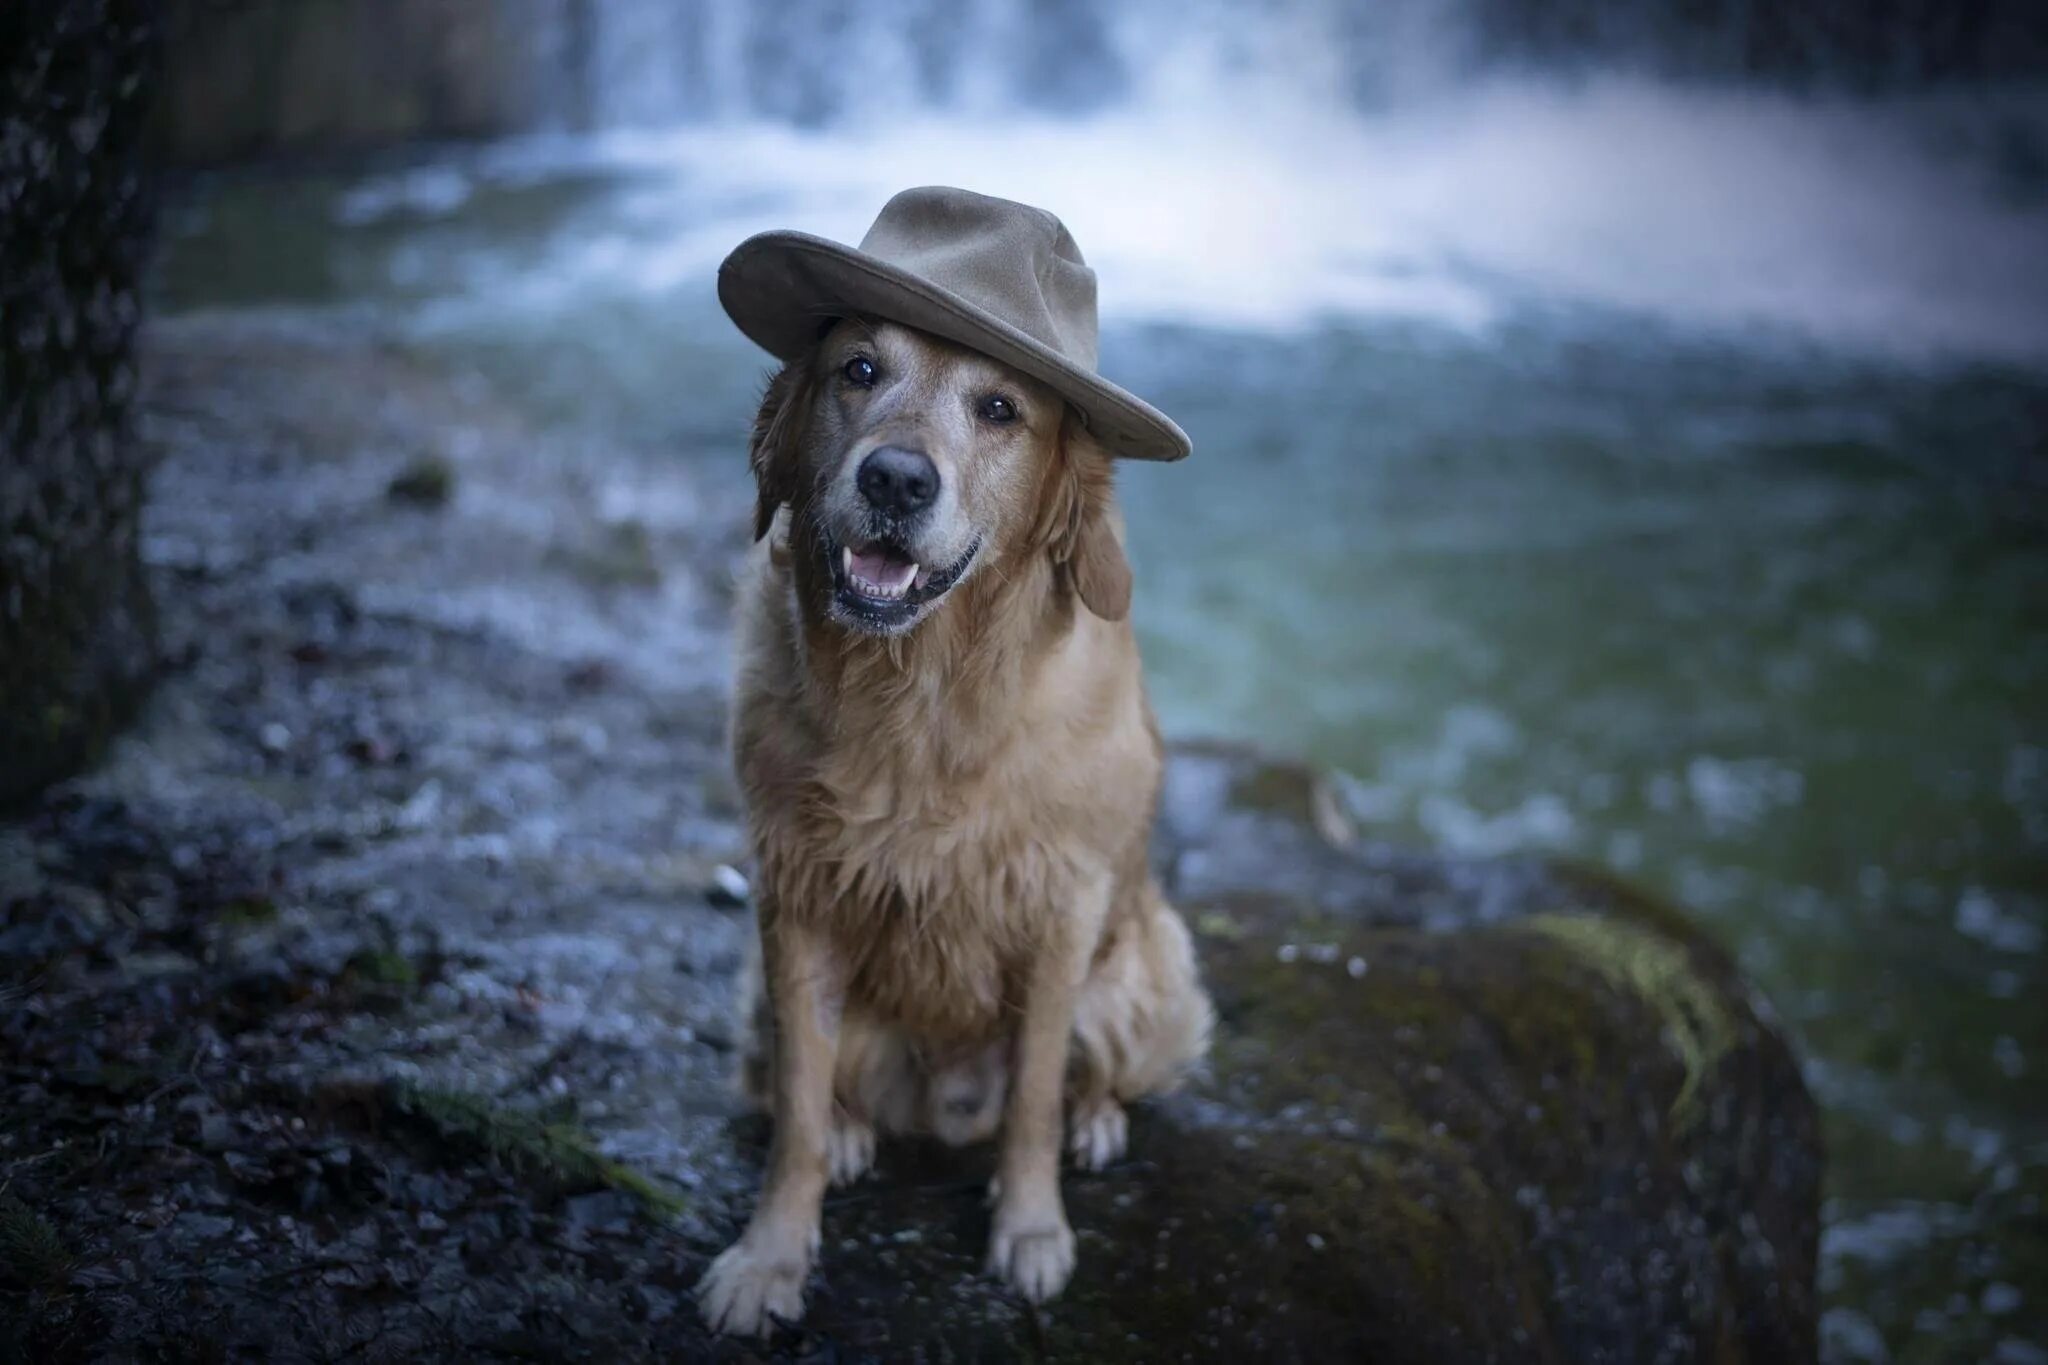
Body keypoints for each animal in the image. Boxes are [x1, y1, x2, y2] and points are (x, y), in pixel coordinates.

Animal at [700, 317, 1212, 1334]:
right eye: (858, 369)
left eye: (1001, 408)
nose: (895, 479)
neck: (921, 696)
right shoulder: (795, 898)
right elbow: (799, 1107)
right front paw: (769, 1258)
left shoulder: (1061, 908)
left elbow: (1035, 1099)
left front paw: (1032, 1231)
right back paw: (853, 1133)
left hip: (1157, 966)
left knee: (1088, 1075)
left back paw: (1098, 1119)